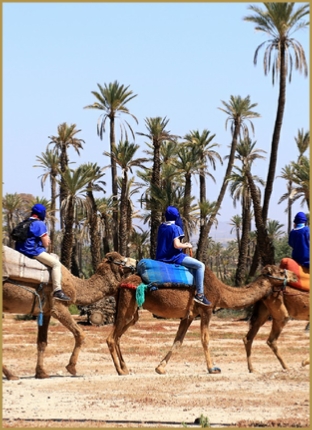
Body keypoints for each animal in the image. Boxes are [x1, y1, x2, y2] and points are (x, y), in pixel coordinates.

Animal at [2, 250, 136, 382]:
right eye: (122, 260)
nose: (135, 262)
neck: (75, 285)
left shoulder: (46, 311)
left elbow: (42, 342)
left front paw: (41, 373)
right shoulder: (58, 306)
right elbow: (80, 333)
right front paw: (71, 367)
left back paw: (10, 374)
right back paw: (11, 374)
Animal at [106, 264, 296, 374]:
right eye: (281, 271)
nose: (294, 275)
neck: (221, 291)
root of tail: (120, 284)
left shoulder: (189, 315)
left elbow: (178, 341)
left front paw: (160, 367)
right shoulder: (207, 310)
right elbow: (205, 339)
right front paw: (213, 368)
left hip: (132, 311)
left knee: (119, 335)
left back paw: (125, 368)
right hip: (128, 301)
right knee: (111, 338)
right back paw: (120, 371)